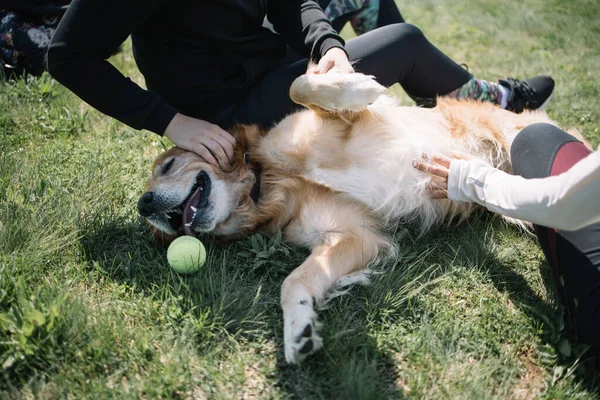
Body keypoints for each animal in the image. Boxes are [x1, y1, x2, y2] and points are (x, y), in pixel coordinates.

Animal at [139, 71, 568, 362]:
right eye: (155, 231)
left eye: (168, 165)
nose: (144, 205)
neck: (270, 182)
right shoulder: (352, 236)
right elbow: (295, 282)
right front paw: (298, 328)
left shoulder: (328, 125)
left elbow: (301, 86)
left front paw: (360, 87)